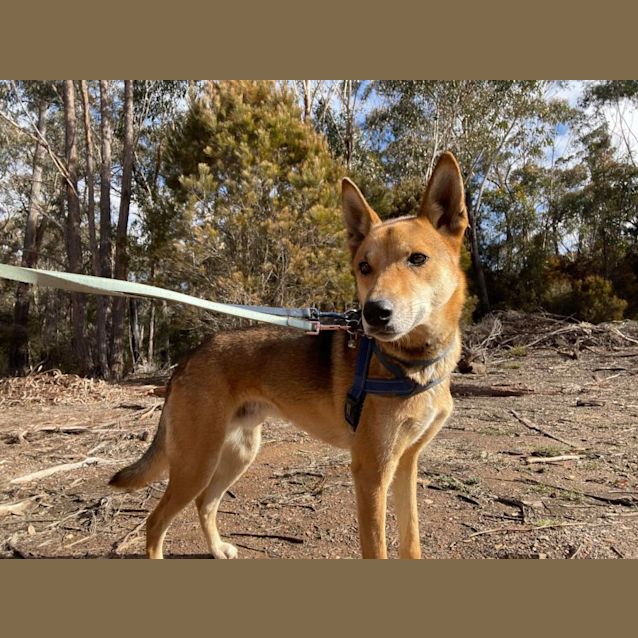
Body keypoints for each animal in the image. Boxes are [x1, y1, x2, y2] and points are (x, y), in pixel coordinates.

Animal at [109, 150, 470, 560]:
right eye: (364, 267)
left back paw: (217, 549)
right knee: (156, 521)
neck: (412, 364)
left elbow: (411, 542)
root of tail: (189, 357)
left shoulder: (406, 464)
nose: (374, 312)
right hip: (196, 463)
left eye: (417, 259)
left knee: (206, 503)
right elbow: (376, 547)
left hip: (237, 453)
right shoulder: (371, 472)